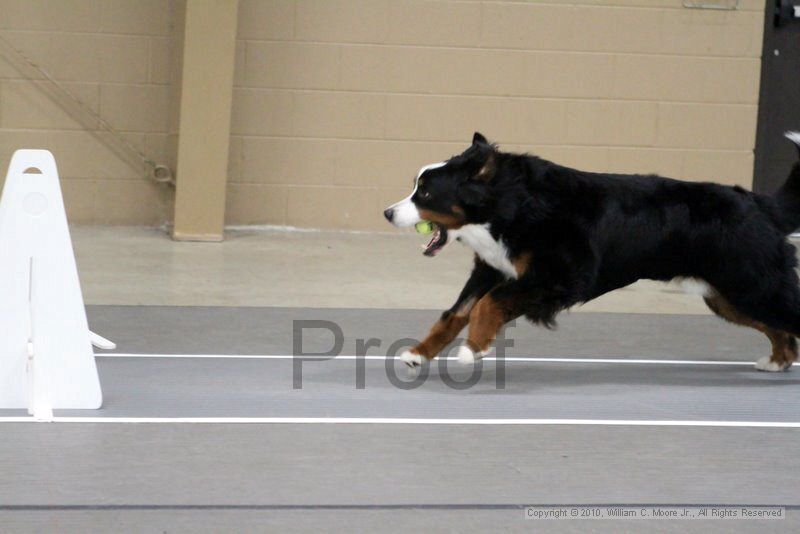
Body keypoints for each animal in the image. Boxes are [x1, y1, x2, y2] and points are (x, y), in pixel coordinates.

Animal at [382, 131, 800, 372]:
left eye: (425, 193)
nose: (388, 213)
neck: (512, 204)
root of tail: (759, 203)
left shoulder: (560, 276)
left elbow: (488, 305)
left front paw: (474, 348)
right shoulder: (493, 268)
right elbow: (455, 313)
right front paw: (419, 353)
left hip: (754, 287)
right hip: (732, 297)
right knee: (781, 330)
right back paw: (777, 361)